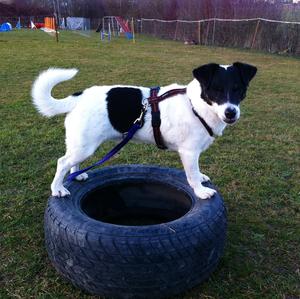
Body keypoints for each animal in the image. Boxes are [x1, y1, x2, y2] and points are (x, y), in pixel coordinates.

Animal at [31, 62, 256, 200]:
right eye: (216, 90)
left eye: (238, 89)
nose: (230, 112)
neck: (197, 105)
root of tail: (79, 97)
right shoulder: (189, 152)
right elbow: (191, 175)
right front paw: (200, 191)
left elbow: (196, 172)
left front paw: (200, 178)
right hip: (85, 146)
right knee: (62, 162)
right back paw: (57, 189)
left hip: (81, 145)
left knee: (71, 162)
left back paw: (77, 175)